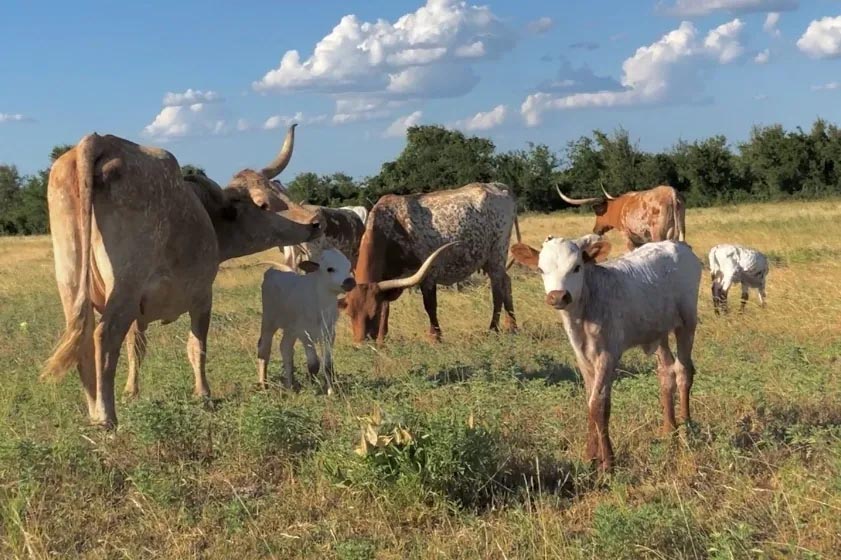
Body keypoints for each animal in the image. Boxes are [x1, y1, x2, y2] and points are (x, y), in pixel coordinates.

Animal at [256, 247, 354, 396]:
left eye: (349, 267)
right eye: (330, 269)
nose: (350, 281)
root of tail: (273, 271)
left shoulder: (329, 333)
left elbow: (328, 365)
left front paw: (331, 391)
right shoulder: (304, 333)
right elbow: (314, 364)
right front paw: (313, 389)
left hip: (290, 329)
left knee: (285, 348)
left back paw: (289, 386)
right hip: (269, 320)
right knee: (264, 348)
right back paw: (263, 385)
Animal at [512, 234, 704, 470]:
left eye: (576, 267)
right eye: (540, 269)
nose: (558, 296)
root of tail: (677, 244)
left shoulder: (608, 354)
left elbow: (598, 404)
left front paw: (608, 463)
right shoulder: (582, 356)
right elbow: (592, 400)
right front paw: (590, 457)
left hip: (687, 322)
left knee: (684, 371)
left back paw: (687, 429)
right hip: (658, 330)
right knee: (666, 373)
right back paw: (669, 431)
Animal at [556, 184, 684, 249]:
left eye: (597, 213)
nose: (595, 230)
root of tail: (671, 193)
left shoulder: (626, 236)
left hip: (658, 233)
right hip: (679, 230)